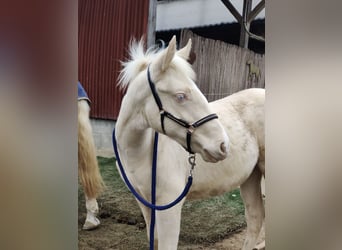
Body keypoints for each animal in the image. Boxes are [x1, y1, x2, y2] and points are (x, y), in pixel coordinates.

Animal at [115, 36, 264, 249]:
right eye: (180, 96)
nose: (223, 145)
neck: (141, 153)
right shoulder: (145, 202)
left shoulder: (169, 205)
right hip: (251, 176)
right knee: (255, 218)